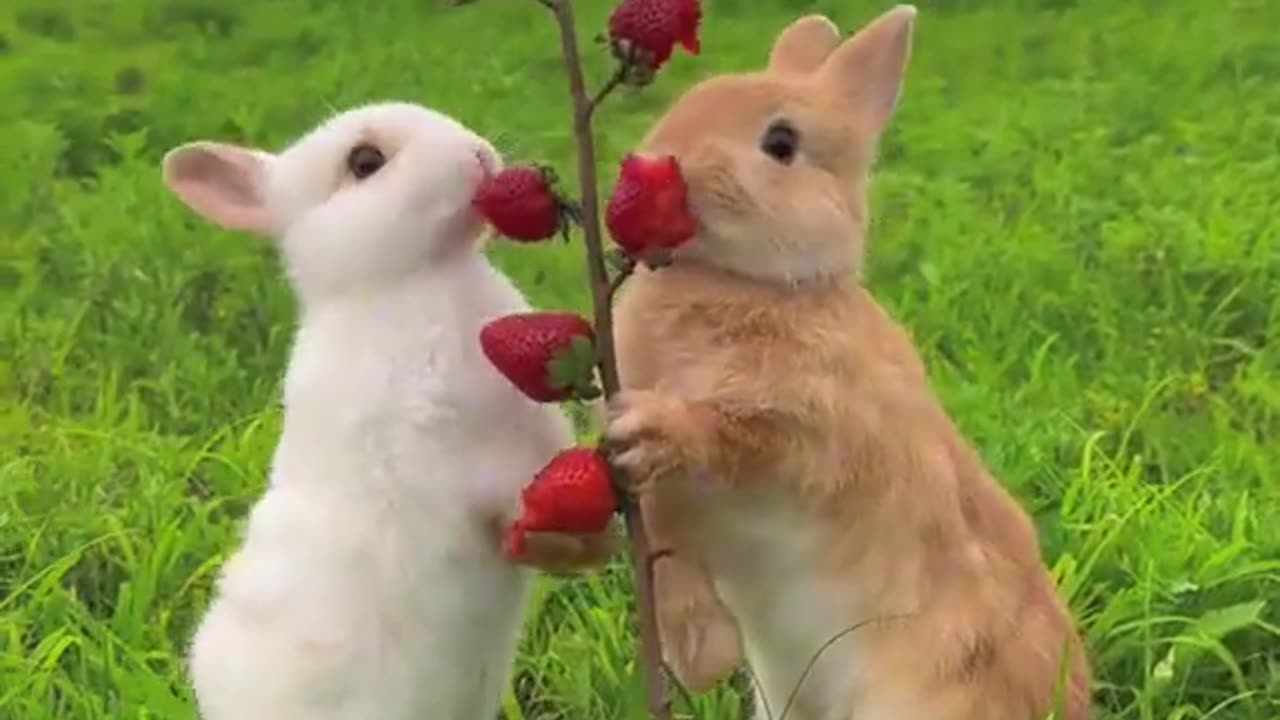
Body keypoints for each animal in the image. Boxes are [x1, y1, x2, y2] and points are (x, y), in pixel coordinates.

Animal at [601, 5, 1090, 717]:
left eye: (781, 143)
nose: (654, 163)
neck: (759, 284)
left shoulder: (808, 428)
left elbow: (731, 436)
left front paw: (650, 429)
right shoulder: (676, 519)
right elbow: (674, 565)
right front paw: (699, 658)